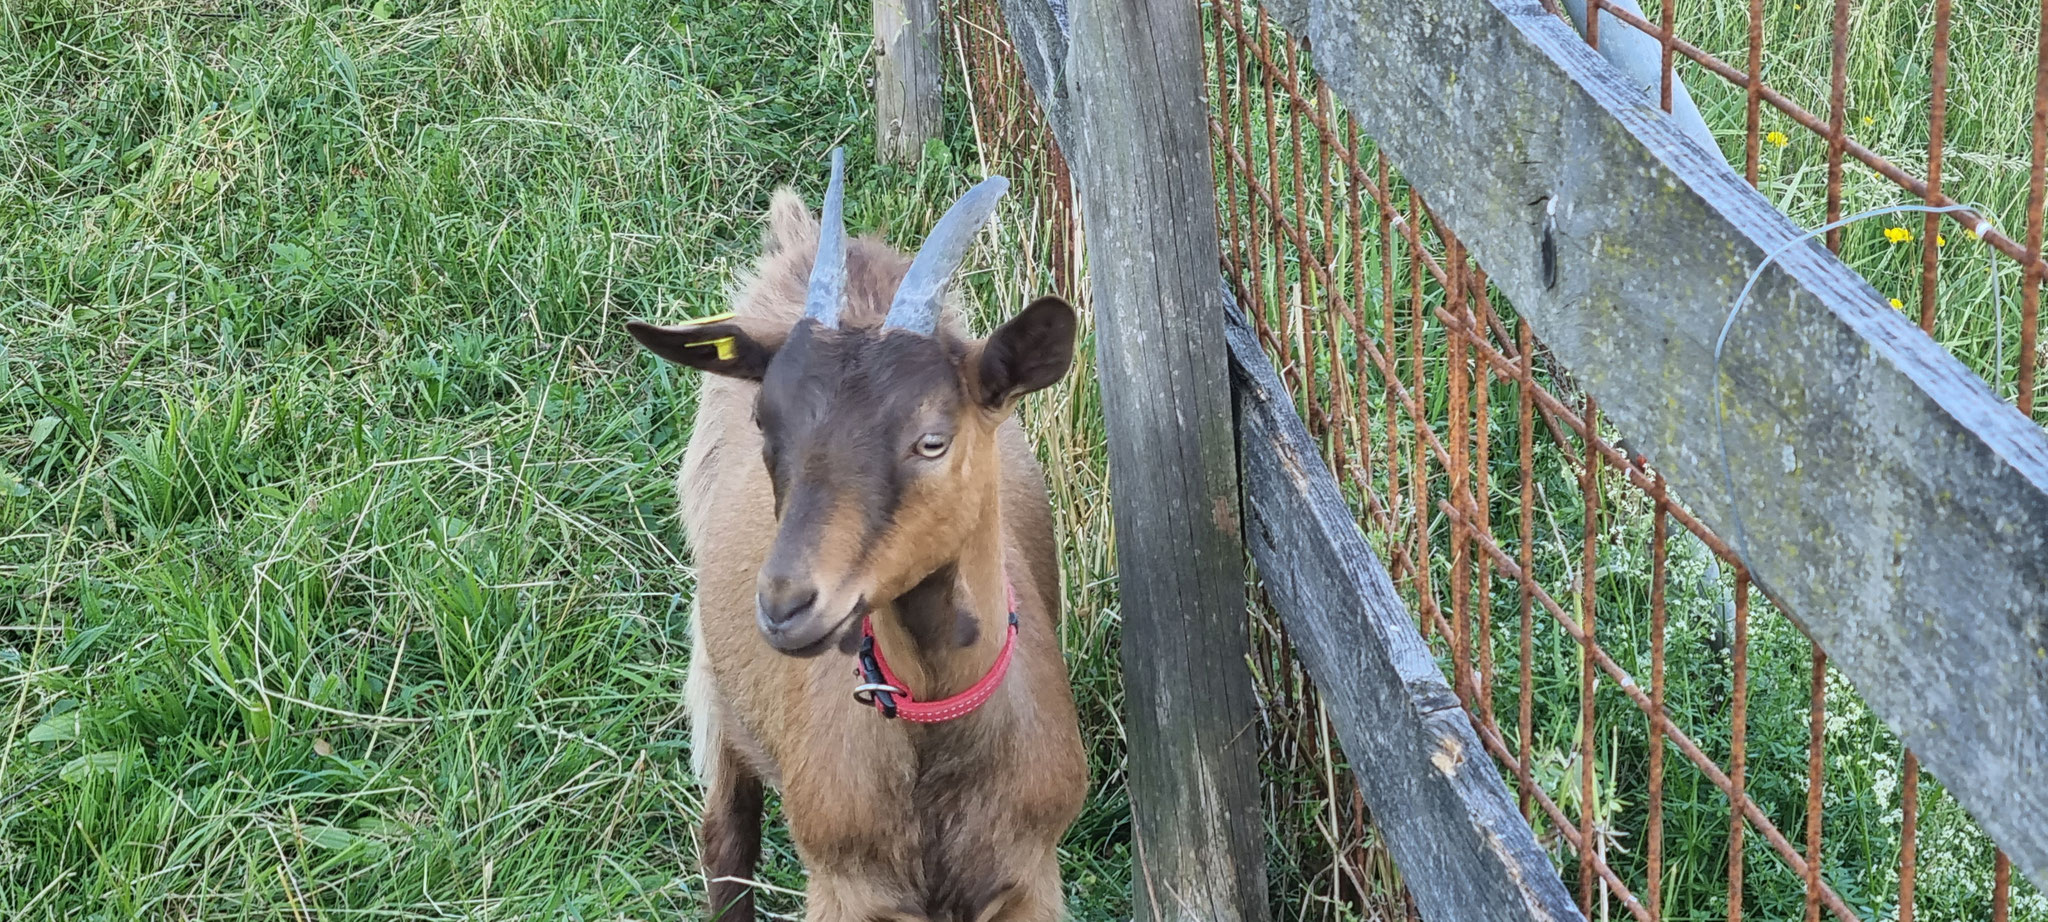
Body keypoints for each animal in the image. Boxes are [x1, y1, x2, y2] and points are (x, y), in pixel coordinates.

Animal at [626, 147, 1097, 917]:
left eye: (933, 440)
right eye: (766, 422)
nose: (786, 604)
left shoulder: (1031, 878)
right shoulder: (846, 885)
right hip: (719, 689)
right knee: (726, 841)